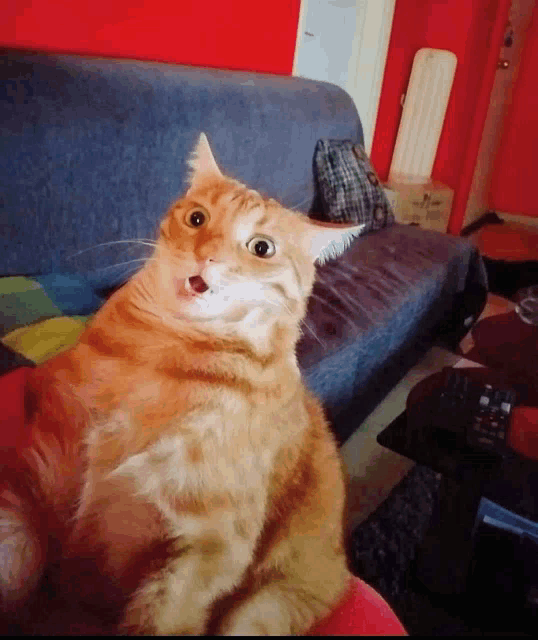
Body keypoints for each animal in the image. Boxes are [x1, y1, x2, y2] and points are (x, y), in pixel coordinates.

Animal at [0, 135, 362, 636]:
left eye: (262, 248)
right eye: (197, 219)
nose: (206, 255)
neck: (169, 352)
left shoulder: (208, 549)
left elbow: (164, 613)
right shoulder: (33, 467)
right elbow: (15, 550)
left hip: (267, 605)